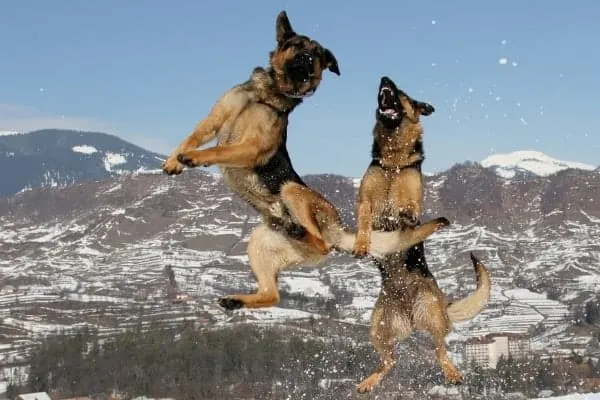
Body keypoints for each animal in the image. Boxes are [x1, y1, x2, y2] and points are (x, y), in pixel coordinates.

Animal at [162, 11, 452, 310]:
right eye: (297, 45)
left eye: (317, 55)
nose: (306, 59)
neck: (267, 93)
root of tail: (338, 231)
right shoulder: (214, 119)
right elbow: (191, 137)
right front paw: (174, 160)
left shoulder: (252, 147)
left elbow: (216, 150)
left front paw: (193, 158)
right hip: (258, 243)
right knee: (272, 294)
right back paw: (237, 298)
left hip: (291, 191)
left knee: (318, 244)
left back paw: (300, 232)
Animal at [354, 76, 490, 392]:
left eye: (402, 93)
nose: (385, 79)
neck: (393, 160)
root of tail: (410, 318)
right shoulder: (365, 200)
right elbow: (365, 218)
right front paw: (362, 243)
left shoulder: (413, 202)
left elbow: (410, 212)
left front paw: (404, 217)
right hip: (378, 328)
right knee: (390, 361)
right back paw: (369, 382)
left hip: (431, 312)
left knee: (440, 348)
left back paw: (452, 373)